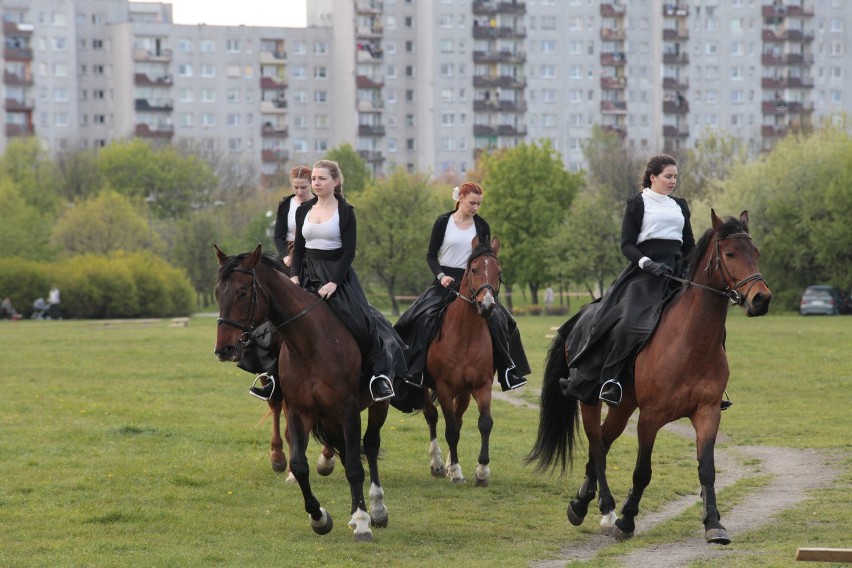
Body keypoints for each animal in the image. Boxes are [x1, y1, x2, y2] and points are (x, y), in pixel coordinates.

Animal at [213, 243, 390, 540]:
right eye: (217, 293)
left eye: (243, 292)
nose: (223, 349)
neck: (308, 343)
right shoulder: (299, 410)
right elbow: (300, 464)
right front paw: (320, 517)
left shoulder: (348, 408)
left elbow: (356, 467)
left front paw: (364, 522)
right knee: (345, 451)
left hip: (377, 405)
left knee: (370, 443)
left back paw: (376, 509)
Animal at [422, 235, 502, 484]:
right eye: (474, 269)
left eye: (499, 271)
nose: (487, 305)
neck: (466, 334)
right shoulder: (444, 387)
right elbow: (450, 430)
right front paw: (456, 471)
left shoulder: (482, 385)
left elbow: (484, 423)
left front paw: (482, 471)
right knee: (432, 416)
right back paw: (438, 464)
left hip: (464, 392)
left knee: (457, 419)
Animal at [524, 211, 772, 544]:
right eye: (731, 254)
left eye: (756, 253)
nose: (761, 299)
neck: (690, 342)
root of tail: (581, 317)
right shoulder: (650, 417)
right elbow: (643, 471)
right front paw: (626, 521)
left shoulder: (707, 412)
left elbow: (707, 469)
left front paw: (714, 524)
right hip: (590, 400)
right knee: (597, 446)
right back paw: (605, 509)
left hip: (624, 406)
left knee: (603, 441)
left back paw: (581, 503)